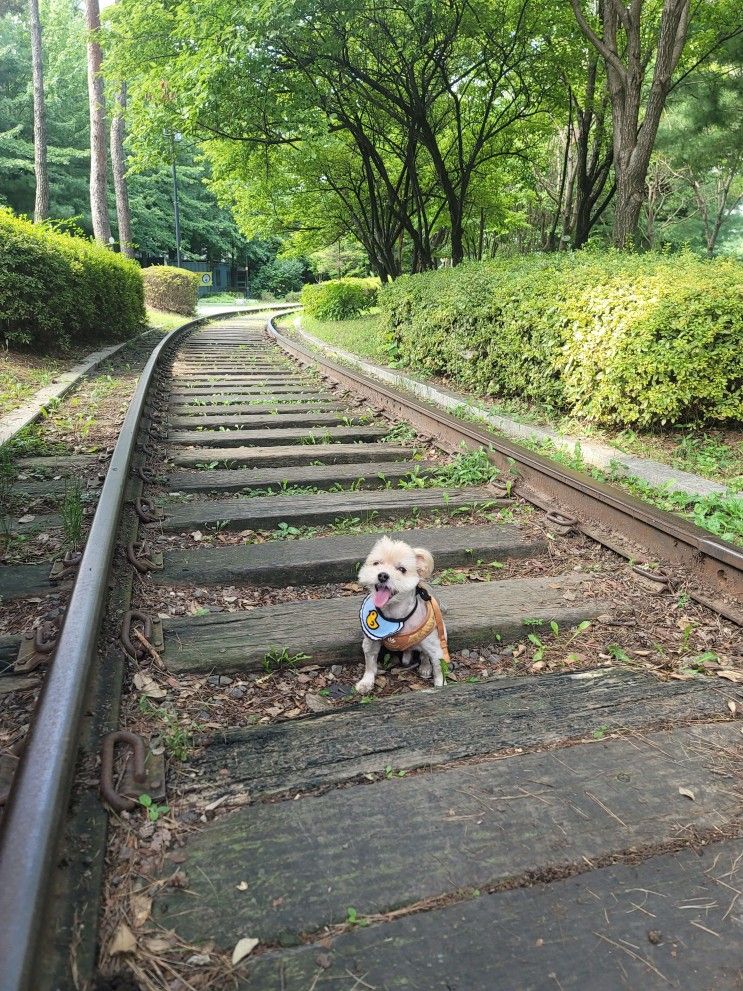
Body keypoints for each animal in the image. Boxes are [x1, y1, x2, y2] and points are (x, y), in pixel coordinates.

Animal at [358, 536, 450, 696]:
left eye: (402, 570)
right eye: (376, 563)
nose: (382, 575)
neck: (395, 614)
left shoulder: (435, 647)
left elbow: (439, 668)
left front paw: (440, 685)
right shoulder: (371, 641)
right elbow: (370, 663)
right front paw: (366, 682)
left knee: (424, 654)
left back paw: (425, 667)